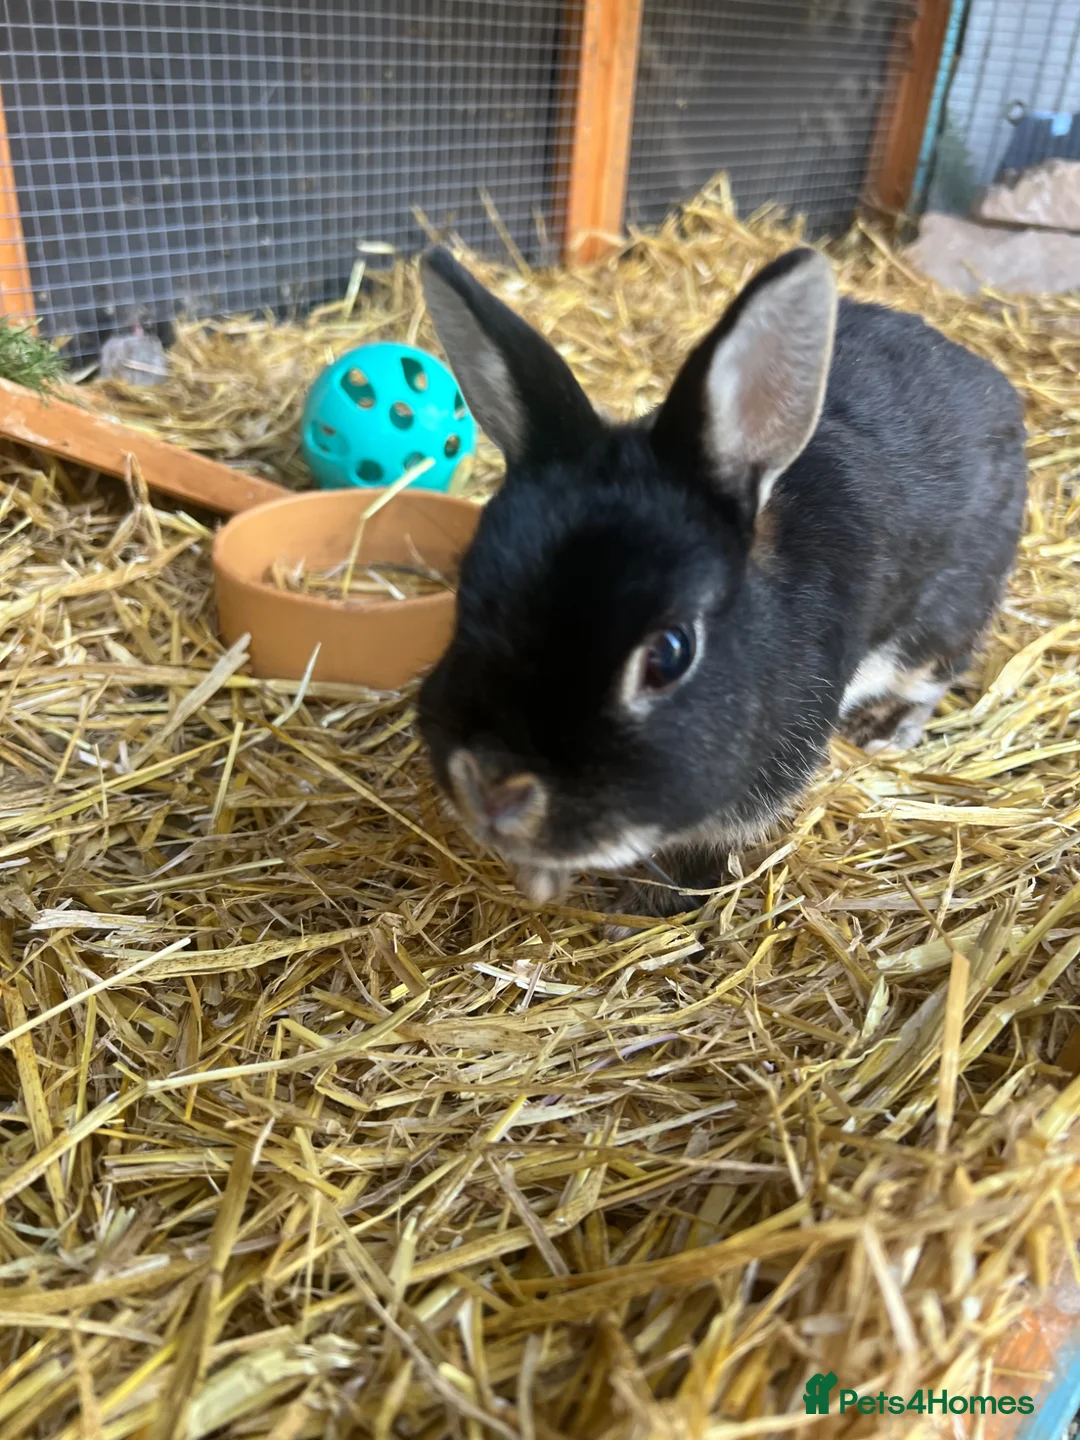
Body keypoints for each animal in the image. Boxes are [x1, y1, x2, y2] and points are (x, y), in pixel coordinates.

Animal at [416, 244, 1027, 919]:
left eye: (669, 654)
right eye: (465, 593)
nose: (492, 787)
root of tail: (993, 386)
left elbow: (705, 849)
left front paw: (642, 908)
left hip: (940, 623)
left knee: (935, 676)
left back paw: (886, 733)